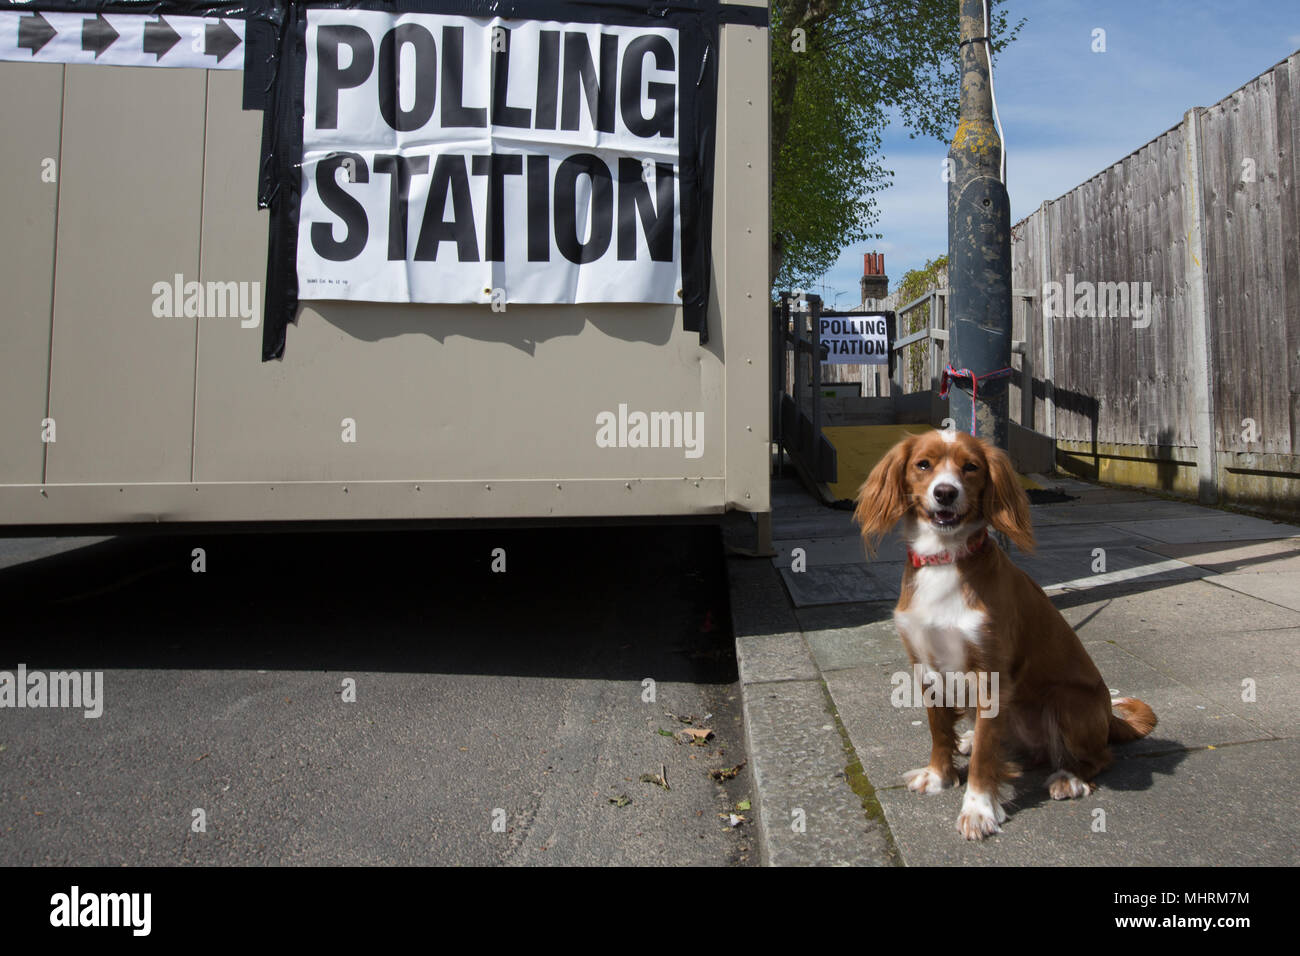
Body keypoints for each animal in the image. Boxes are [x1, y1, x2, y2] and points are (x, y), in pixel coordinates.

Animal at [852, 429, 1159, 842]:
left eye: (970, 467)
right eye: (923, 464)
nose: (945, 493)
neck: (944, 560)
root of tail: (1110, 718)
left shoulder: (990, 675)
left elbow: (985, 754)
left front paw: (978, 809)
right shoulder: (926, 665)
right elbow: (939, 730)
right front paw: (939, 776)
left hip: (1067, 701)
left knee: (1098, 757)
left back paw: (1070, 777)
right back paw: (968, 741)